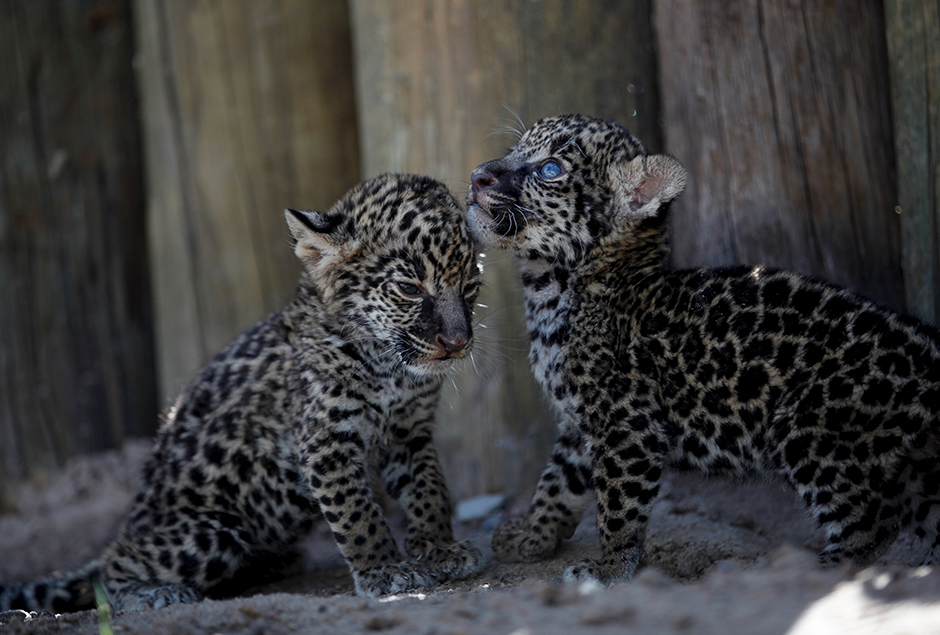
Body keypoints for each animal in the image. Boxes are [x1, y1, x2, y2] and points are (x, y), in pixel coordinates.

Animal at [0, 173, 483, 613]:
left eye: (470, 287)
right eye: (408, 288)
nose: (457, 342)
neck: (390, 369)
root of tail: (138, 517)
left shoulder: (410, 432)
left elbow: (430, 490)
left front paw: (439, 549)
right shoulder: (325, 441)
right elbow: (357, 513)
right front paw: (384, 571)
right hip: (207, 536)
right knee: (115, 564)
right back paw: (150, 593)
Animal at [467, 113, 940, 585]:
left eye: (550, 169)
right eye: (516, 150)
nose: (478, 176)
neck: (549, 288)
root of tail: (929, 352)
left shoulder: (626, 422)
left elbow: (617, 505)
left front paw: (610, 568)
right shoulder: (579, 423)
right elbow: (555, 484)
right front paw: (531, 536)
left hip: (811, 429)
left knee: (872, 522)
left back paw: (809, 569)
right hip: (909, 463)